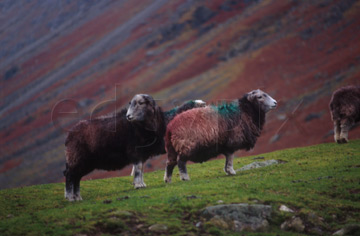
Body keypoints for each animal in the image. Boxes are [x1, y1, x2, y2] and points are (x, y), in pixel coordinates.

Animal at [64, 94, 204, 201]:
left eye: (141, 103)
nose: (128, 116)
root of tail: (69, 135)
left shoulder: (142, 154)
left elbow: (140, 169)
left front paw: (141, 184)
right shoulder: (135, 152)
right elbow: (138, 169)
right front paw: (138, 185)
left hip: (85, 163)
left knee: (76, 177)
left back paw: (77, 197)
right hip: (77, 159)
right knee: (70, 175)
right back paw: (70, 197)